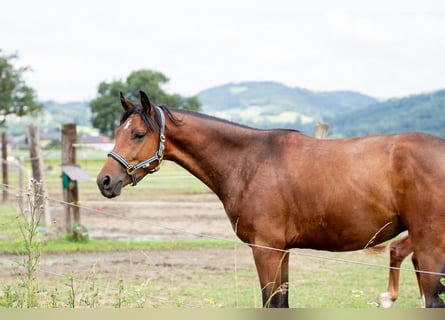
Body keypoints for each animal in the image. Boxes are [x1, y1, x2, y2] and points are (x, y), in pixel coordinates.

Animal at [96, 90, 444, 308]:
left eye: (138, 134)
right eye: (117, 132)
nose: (105, 181)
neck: (249, 161)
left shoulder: (266, 250)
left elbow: (271, 303)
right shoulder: (282, 252)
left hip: (429, 247)